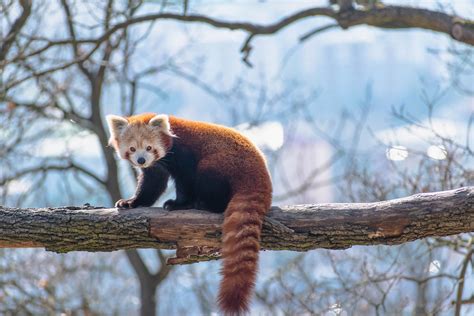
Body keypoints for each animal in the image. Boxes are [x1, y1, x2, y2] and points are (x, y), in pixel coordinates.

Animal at [106, 113, 272, 314]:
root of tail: (260, 174)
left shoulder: (183, 154)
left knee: (208, 178)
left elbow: (186, 180)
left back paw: (204, 204)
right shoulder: (157, 166)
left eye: (149, 147)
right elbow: (152, 184)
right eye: (132, 149)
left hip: (220, 164)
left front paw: (179, 204)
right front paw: (131, 202)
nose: (141, 160)